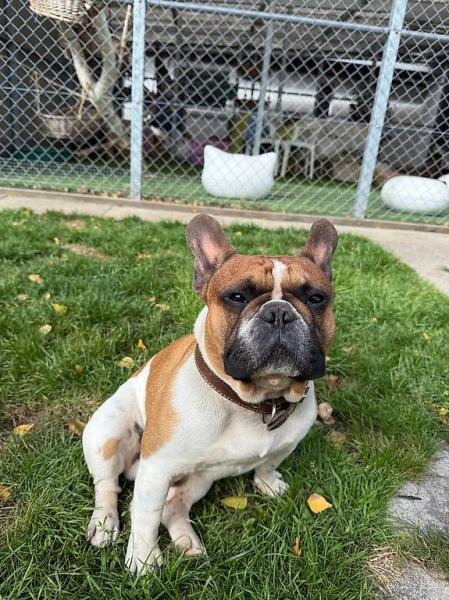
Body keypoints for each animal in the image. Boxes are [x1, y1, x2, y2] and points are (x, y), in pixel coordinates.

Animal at [82, 214, 338, 576]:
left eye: (316, 298)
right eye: (237, 296)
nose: (279, 312)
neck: (255, 401)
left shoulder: (284, 444)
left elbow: (268, 462)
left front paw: (267, 482)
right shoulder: (157, 468)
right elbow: (145, 515)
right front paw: (144, 558)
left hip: (198, 478)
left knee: (172, 507)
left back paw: (187, 541)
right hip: (107, 433)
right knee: (108, 485)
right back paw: (104, 524)